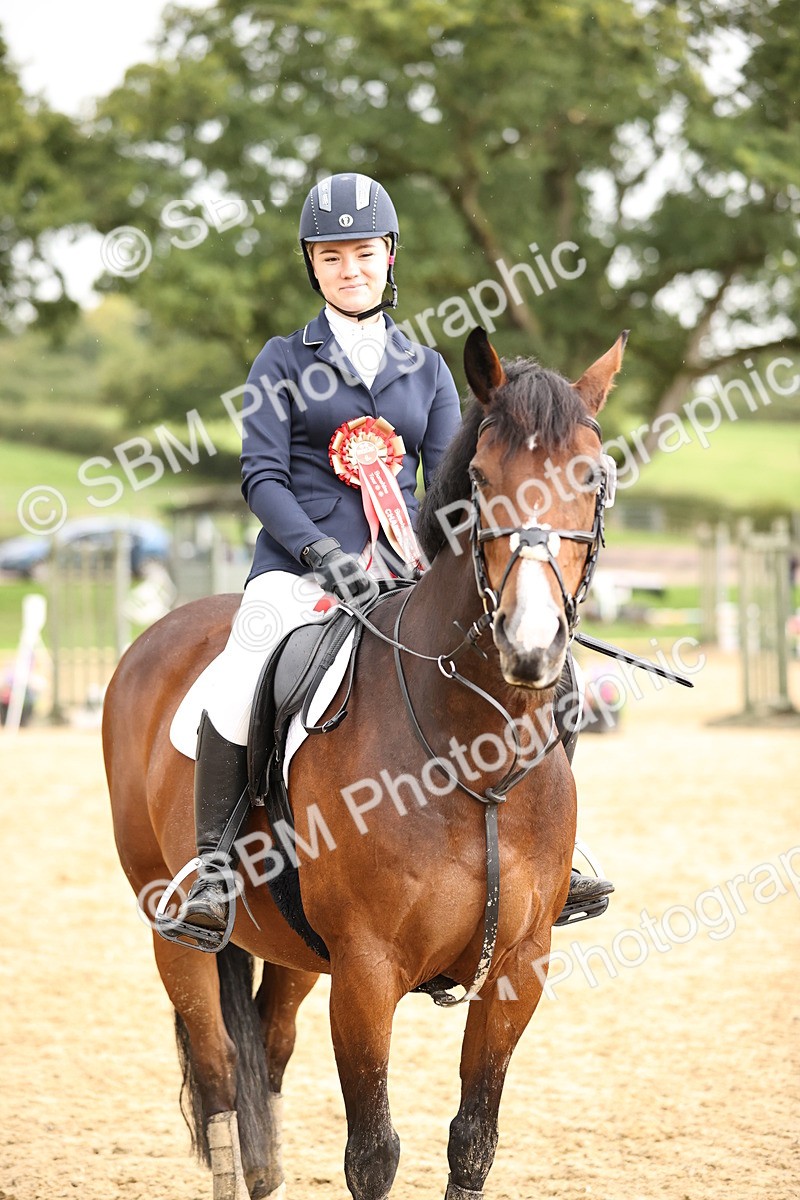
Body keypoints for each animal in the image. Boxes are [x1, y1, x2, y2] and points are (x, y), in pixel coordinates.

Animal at [103, 325, 626, 1200]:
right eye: (480, 482)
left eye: (590, 476)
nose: (531, 645)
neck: (476, 757)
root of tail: (163, 634)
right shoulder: (366, 972)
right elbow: (373, 1154)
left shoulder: (520, 968)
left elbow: (472, 1141)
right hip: (174, 930)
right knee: (218, 1076)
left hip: (290, 950)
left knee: (265, 1062)